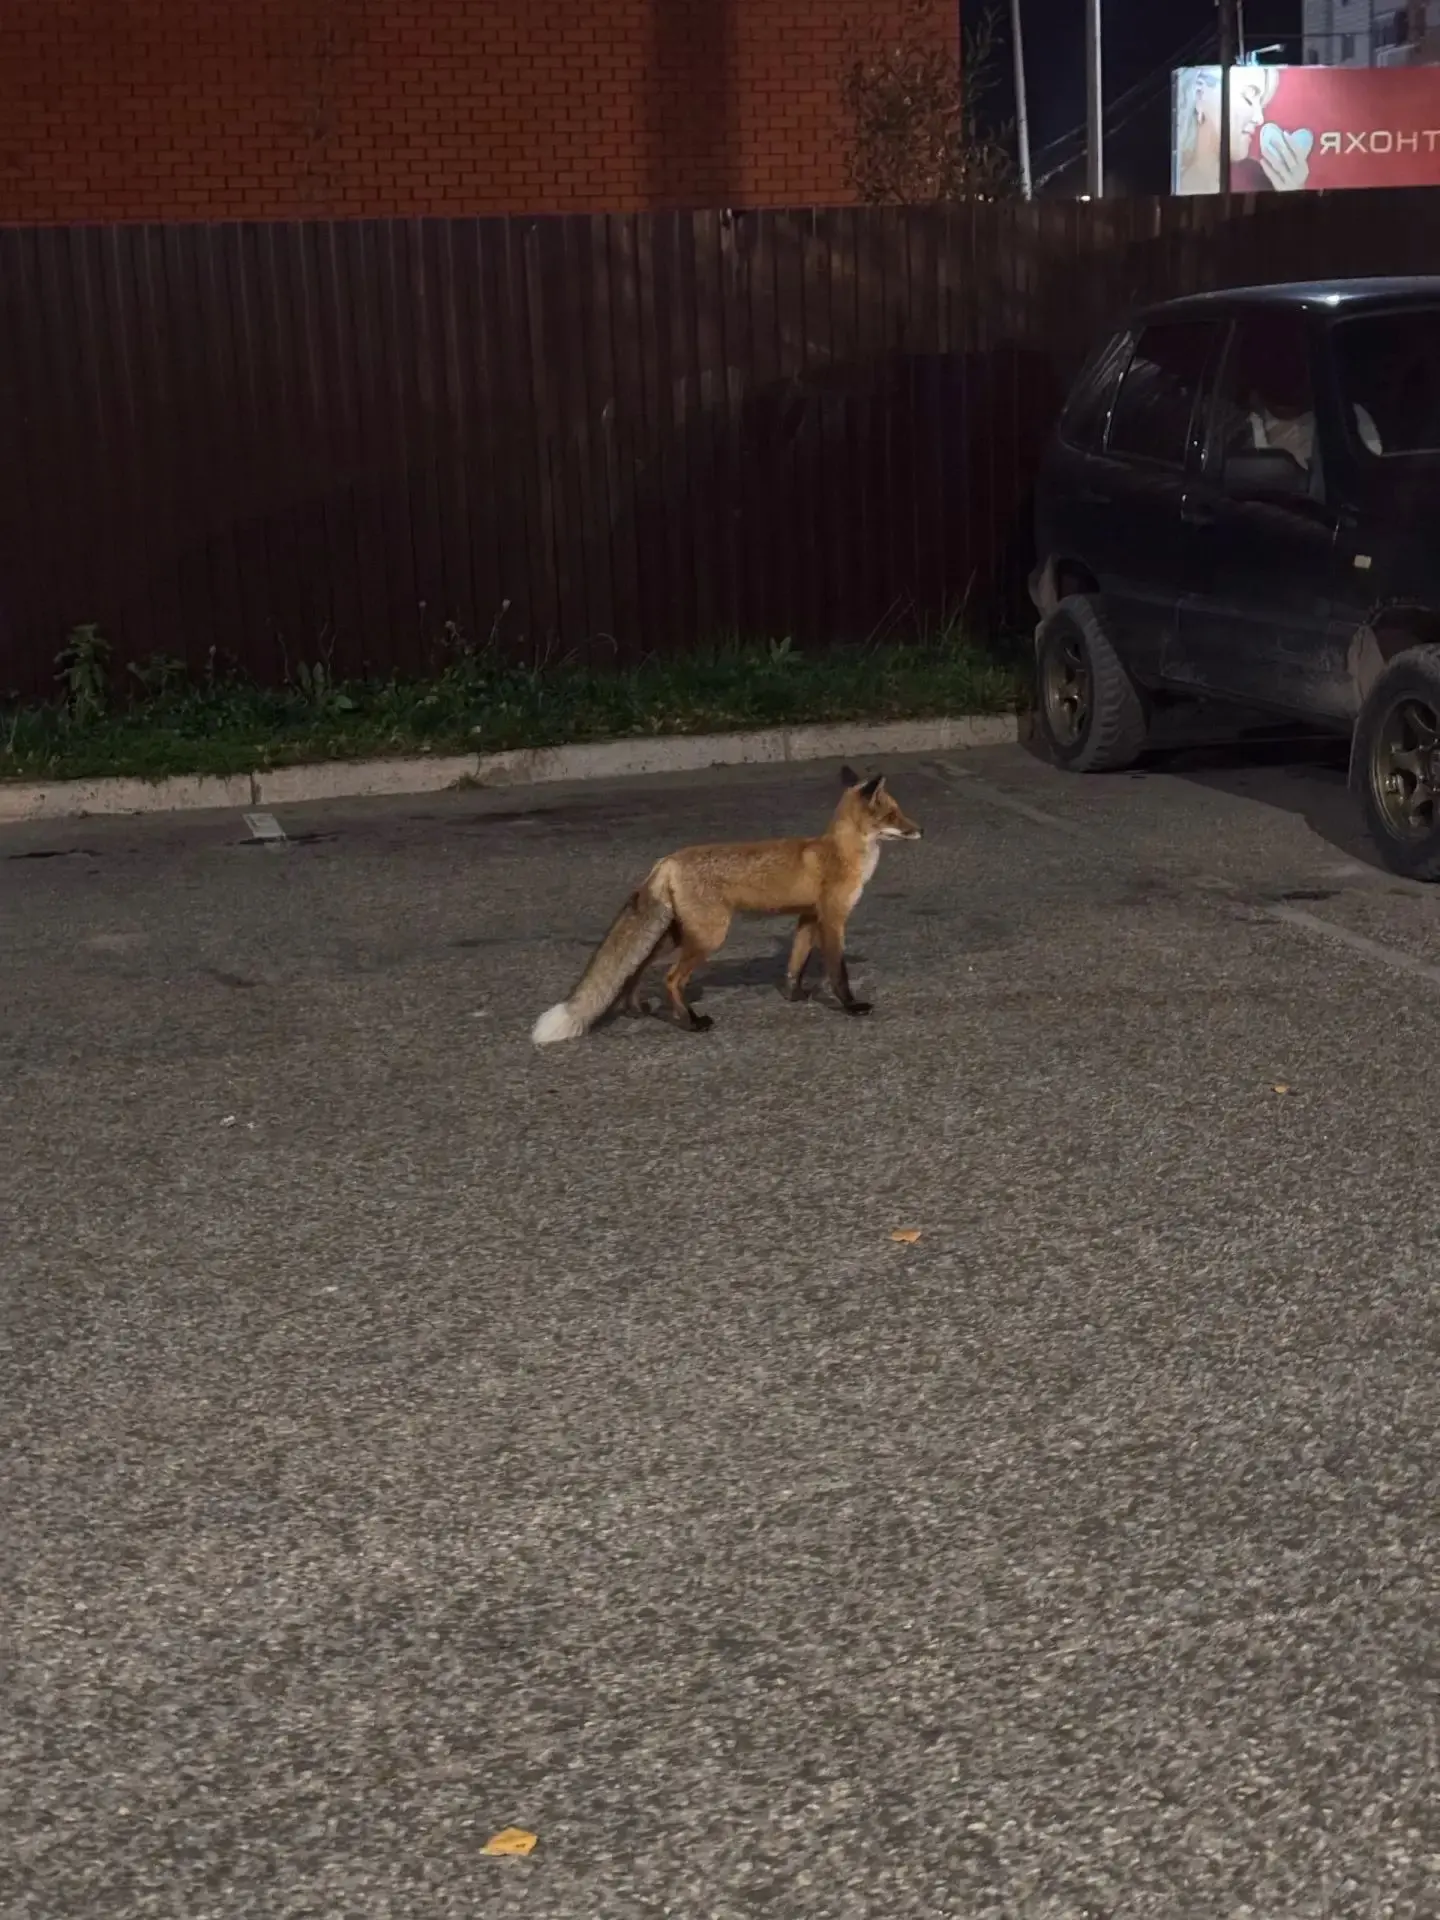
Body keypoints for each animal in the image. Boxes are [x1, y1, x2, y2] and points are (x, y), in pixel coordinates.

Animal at [530, 765, 922, 1044]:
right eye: (893, 815)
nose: (920, 830)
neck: (839, 853)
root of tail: (666, 860)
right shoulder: (833, 919)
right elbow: (839, 972)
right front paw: (851, 1006)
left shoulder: (808, 918)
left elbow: (795, 963)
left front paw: (794, 995)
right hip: (708, 937)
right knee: (670, 979)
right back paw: (691, 1023)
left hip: (676, 934)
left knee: (636, 967)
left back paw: (635, 1008)